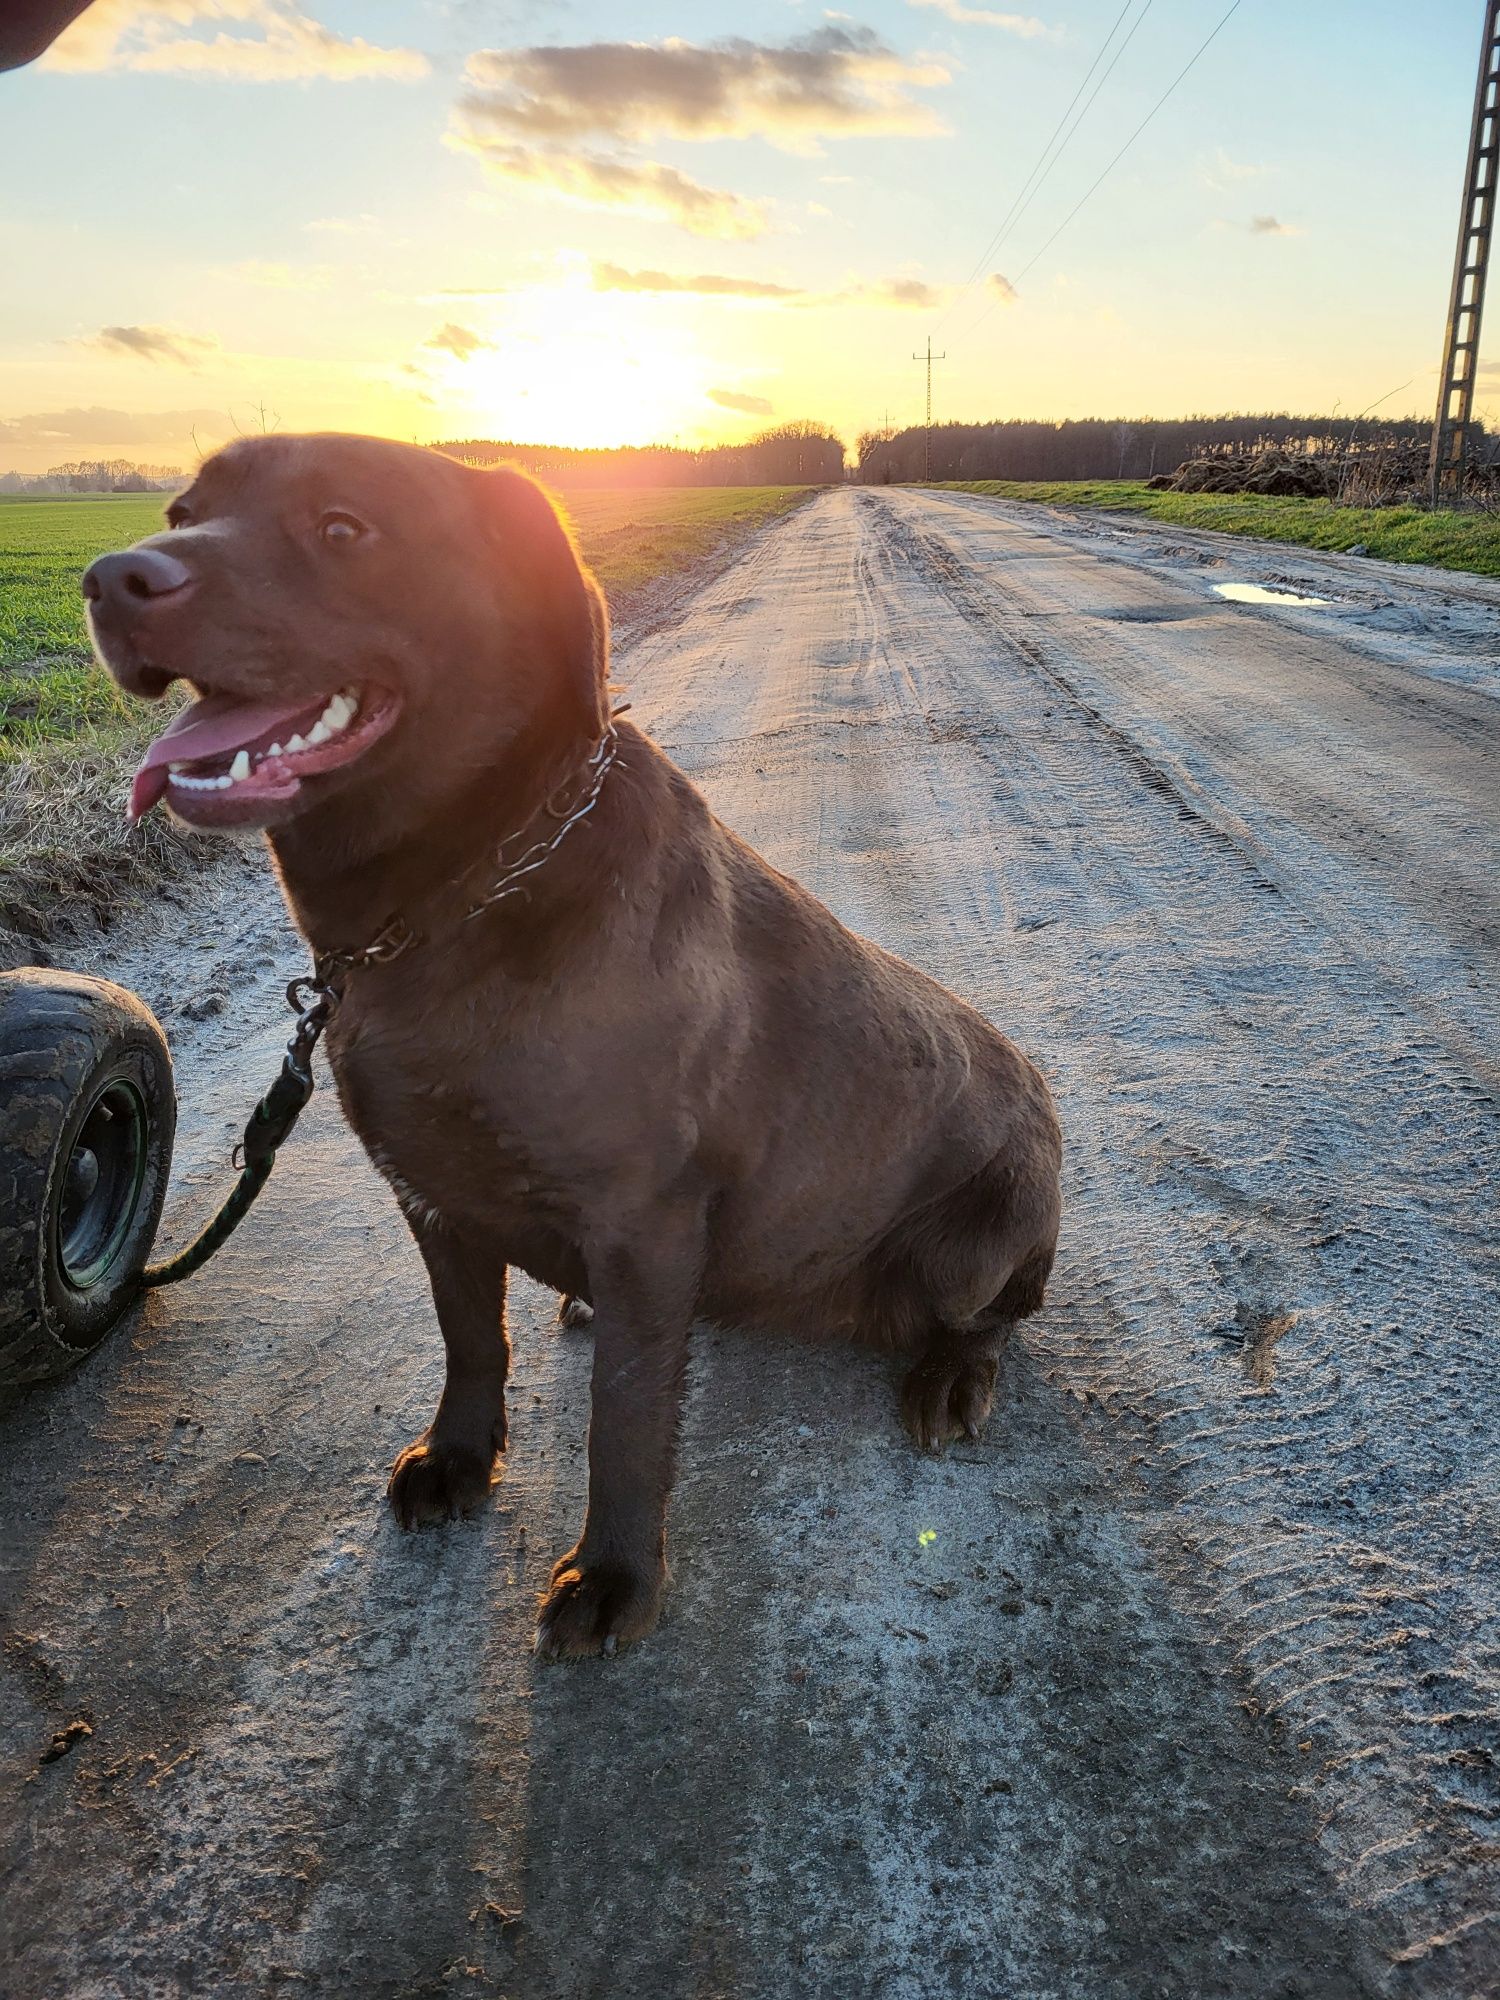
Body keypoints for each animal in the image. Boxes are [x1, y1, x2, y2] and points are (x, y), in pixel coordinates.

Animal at [85, 434, 1072, 1656]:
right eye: (185, 511)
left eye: (343, 528)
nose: (110, 576)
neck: (457, 898)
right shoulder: (431, 1192)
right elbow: (472, 1338)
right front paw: (460, 1458)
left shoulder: (643, 1221)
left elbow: (626, 1416)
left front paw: (615, 1576)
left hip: (975, 1236)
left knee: (996, 1316)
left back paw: (951, 1377)